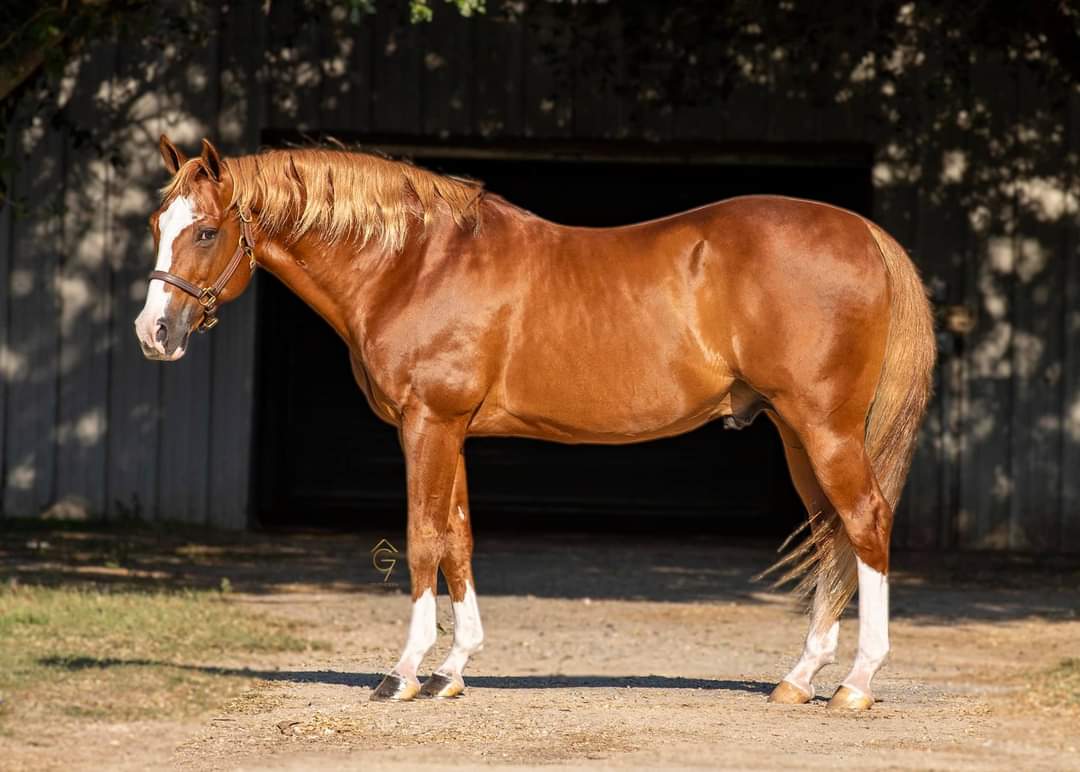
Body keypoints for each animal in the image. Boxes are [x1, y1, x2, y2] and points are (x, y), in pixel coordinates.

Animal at [135, 136, 936, 709]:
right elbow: (457, 538)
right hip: (798, 433)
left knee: (864, 522)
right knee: (831, 535)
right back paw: (799, 679)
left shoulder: (427, 424)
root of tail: (863, 233)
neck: (414, 264)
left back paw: (857, 684)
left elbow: (423, 539)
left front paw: (403, 674)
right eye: (156, 225)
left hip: (825, 427)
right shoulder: (451, 430)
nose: (154, 333)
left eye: (205, 232)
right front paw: (453, 670)